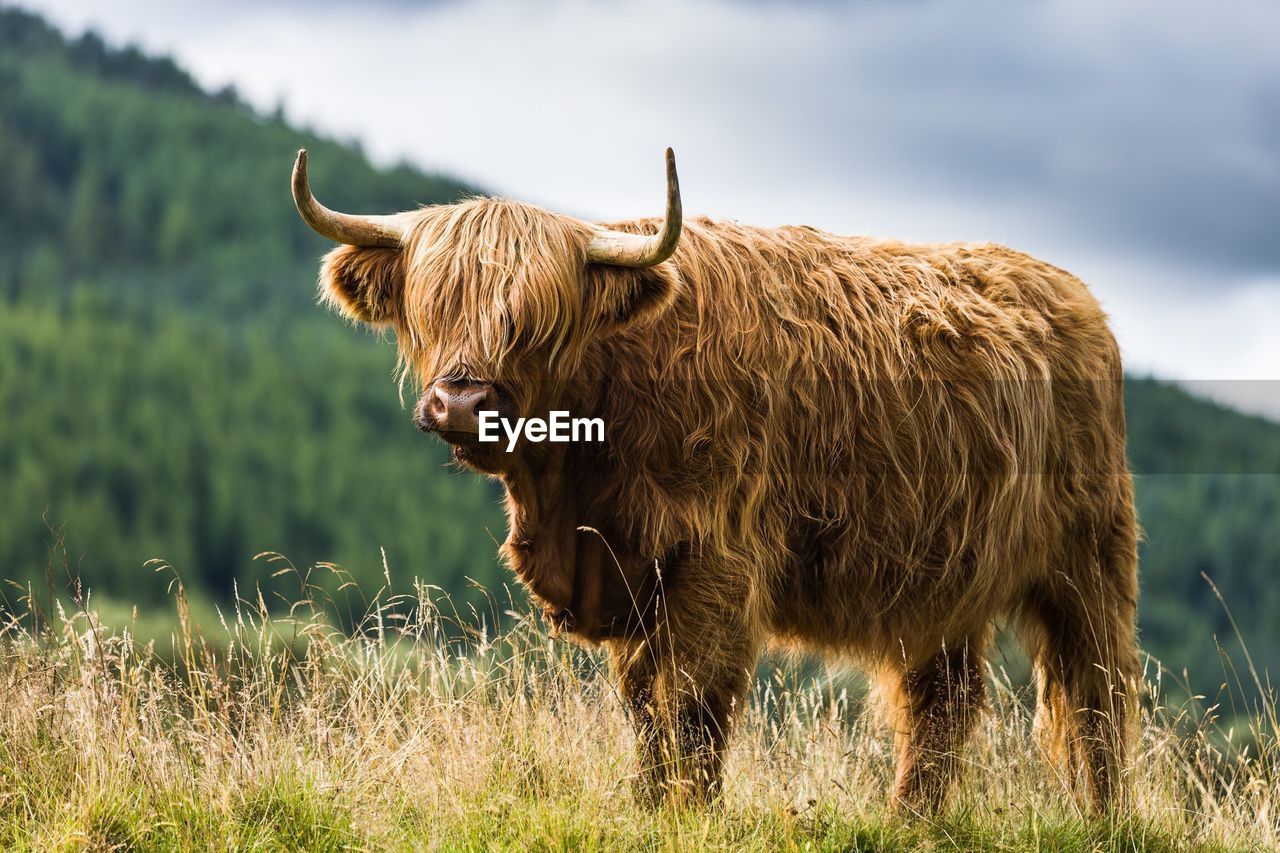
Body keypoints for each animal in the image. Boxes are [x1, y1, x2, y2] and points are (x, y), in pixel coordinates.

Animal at [293, 149, 1141, 814]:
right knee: (944, 701)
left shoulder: (715, 563)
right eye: (430, 306)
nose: (463, 402)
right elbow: (646, 707)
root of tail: (1077, 295)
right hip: (944, 576)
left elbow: (692, 705)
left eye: (538, 319)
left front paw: (686, 811)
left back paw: (1107, 821)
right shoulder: (628, 573)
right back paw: (913, 822)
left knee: (1097, 696)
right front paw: (647, 803)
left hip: (1090, 557)